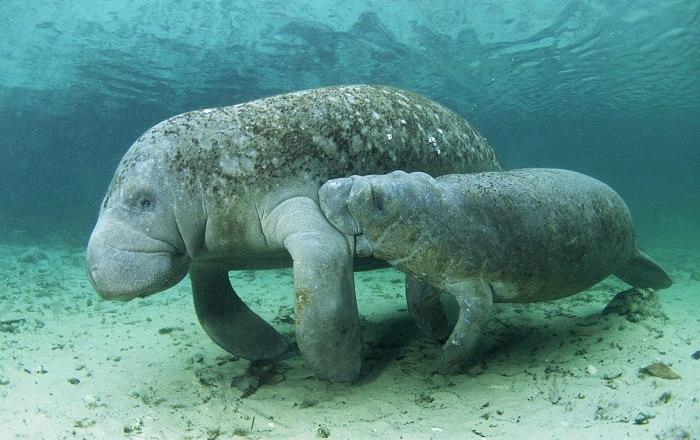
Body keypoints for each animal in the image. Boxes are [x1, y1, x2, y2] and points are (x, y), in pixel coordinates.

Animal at [85, 85, 500, 382]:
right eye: (105, 201)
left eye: (144, 201)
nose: (96, 271)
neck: (214, 171)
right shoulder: (207, 254)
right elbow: (213, 308)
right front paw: (273, 349)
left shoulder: (299, 207)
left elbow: (320, 286)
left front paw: (341, 372)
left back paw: (437, 330)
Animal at [322, 168, 672, 372]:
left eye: (375, 198)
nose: (331, 184)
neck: (432, 212)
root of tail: (634, 248)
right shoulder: (420, 267)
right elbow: (419, 302)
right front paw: (437, 334)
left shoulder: (475, 287)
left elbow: (468, 328)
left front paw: (441, 366)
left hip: (629, 251)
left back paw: (661, 282)